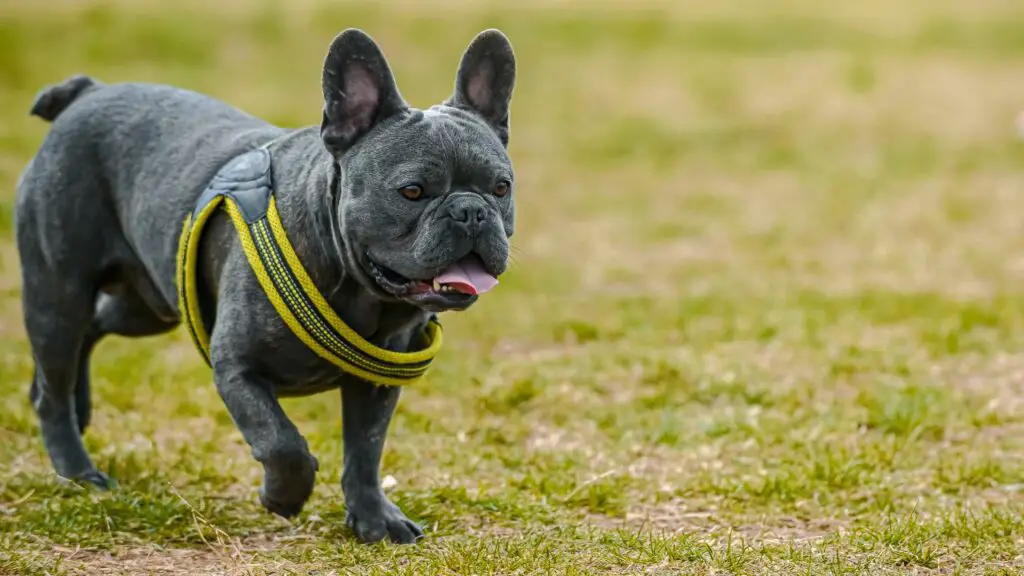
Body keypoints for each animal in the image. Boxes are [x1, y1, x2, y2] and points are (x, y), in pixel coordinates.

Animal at [12, 28, 516, 541]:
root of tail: (87, 93)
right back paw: (77, 471)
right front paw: (283, 497)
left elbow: (364, 453)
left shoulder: (376, 385)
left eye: (501, 188)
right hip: (59, 293)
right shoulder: (237, 367)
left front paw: (375, 519)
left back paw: (79, 407)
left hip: (147, 305)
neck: (358, 292)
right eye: (412, 191)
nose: (470, 210)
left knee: (91, 332)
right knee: (54, 382)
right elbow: (282, 442)